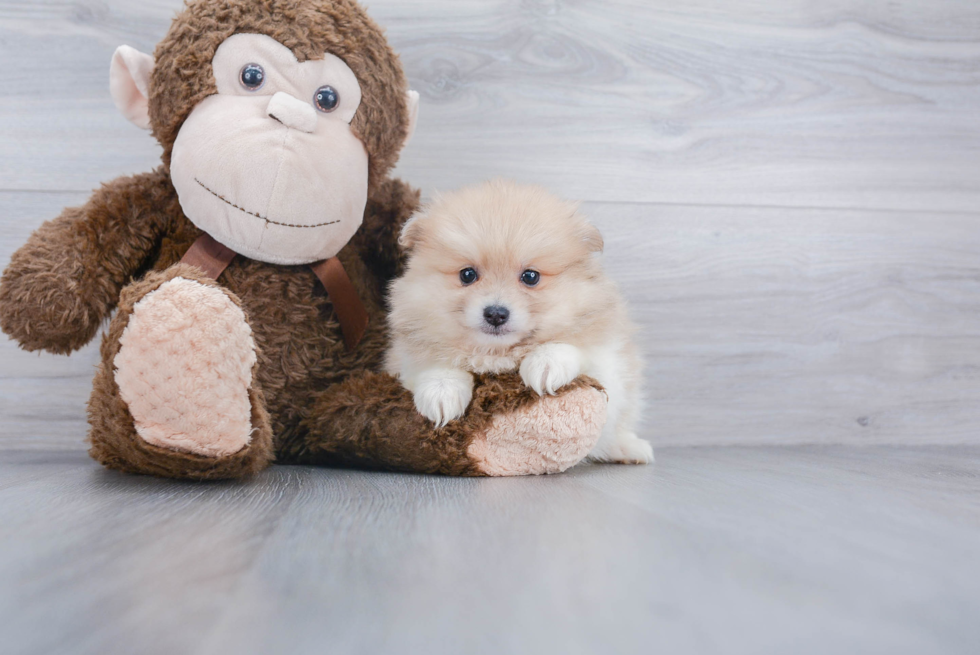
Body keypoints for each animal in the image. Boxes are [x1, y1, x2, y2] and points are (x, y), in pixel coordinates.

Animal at [386, 179, 656, 466]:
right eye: (467, 275)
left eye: (530, 277)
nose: (495, 313)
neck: (498, 355)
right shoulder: (405, 354)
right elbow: (434, 363)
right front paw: (441, 392)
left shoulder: (607, 356)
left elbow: (573, 346)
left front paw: (546, 362)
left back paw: (629, 448)